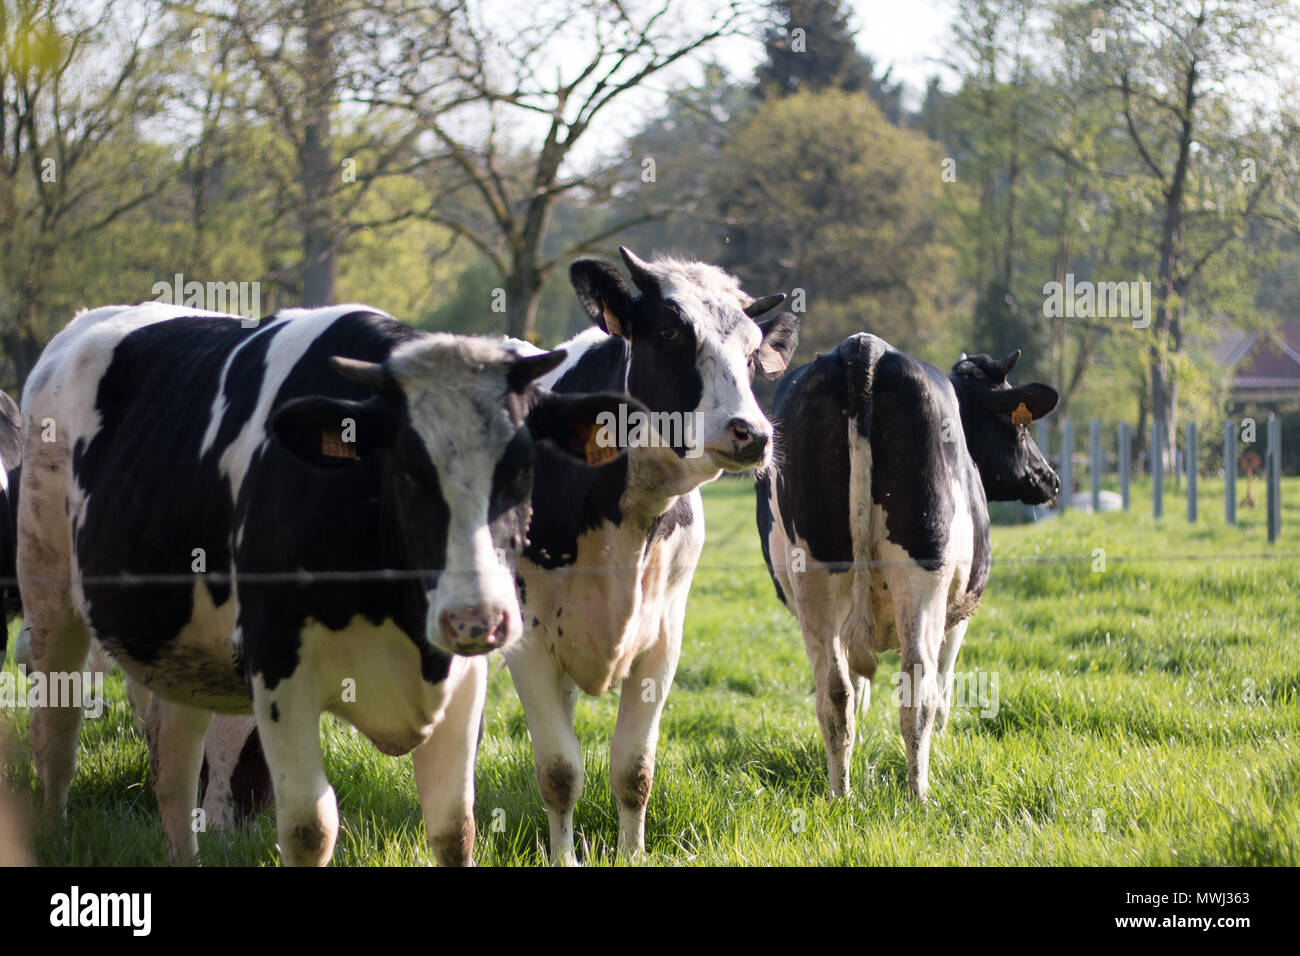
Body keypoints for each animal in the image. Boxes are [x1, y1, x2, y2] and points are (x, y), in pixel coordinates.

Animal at [17, 304, 626, 868]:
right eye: (407, 471)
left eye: (523, 470)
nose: (477, 618)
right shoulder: (279, 670)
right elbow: (310, 829)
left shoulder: (463, 681)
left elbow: (455, 828)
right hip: (49, 596)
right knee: (56, 736)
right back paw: (54, 834)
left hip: (179, 647)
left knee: (173, 761)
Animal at [504, 248, 790, 868]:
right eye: (669, 331)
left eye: (753, 352)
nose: (753, 433)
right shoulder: (528, 640)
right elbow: (559, 770)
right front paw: (563, 858)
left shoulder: (663, 637)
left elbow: (633, 768)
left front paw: (631, 853)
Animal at [759, 335, 1050, 801]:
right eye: (1019, 427)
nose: (1049, 478)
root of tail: (862, 346)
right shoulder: (957, 617)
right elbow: (944, 687)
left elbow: (855, 693)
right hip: (924, 574)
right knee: (918, 692)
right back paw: (920, 796)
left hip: (815, 575)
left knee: (834, 694)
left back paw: (840, 795)